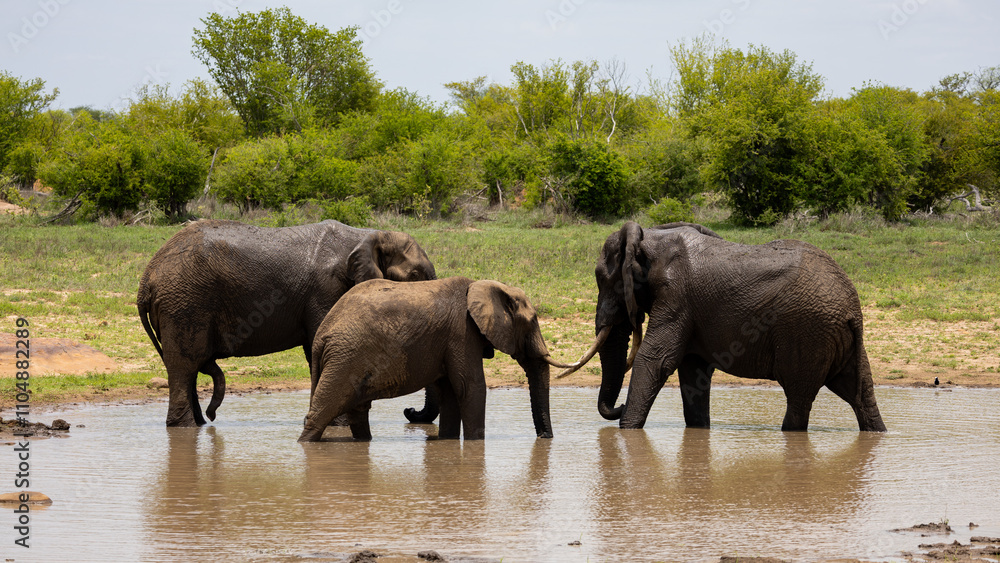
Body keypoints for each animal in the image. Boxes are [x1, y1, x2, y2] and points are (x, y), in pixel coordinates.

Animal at [137, 219, 437, 427]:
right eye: (415, 275)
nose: (409, 411)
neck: (370, 234)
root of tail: (147, 277)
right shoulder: (327, 288)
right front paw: (338, 425)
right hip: (184, 302)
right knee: (184, 365)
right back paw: (187, 427)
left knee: (186, 367)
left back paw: (199, 424)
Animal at [299, 276, 571, 442]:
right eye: (533, 321)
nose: (544, 438)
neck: (484, 285)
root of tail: (321, 336)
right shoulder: (461, 332)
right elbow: (470, 387)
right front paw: (476, 444)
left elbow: (451, 391)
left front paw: (448, 441)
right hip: (344, 358)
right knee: (321, 413)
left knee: (357, 412)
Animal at [559, 221, 886, 432]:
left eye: (604, 279)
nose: (618, 408)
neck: (651, 239)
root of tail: (853, 309)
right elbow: (693, 371)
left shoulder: (676, 296)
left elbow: (656, 360)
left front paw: (627, 431)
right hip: (836, 338)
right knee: (861, 394)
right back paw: (877, 430)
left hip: (808, 332)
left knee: (799, 398)